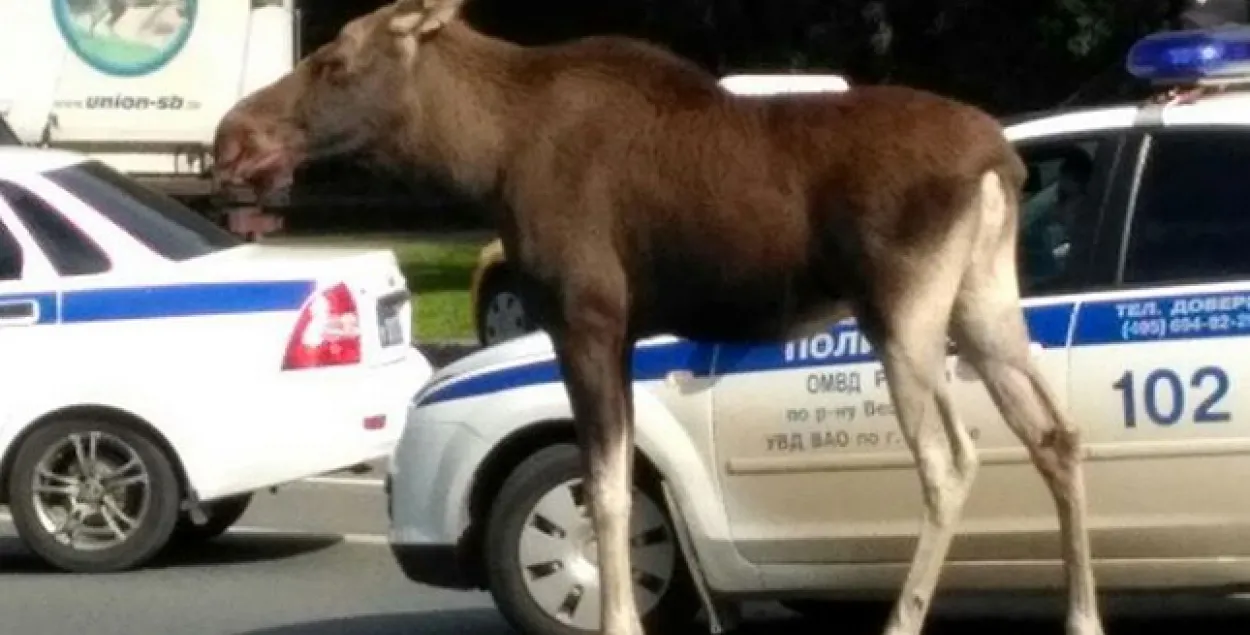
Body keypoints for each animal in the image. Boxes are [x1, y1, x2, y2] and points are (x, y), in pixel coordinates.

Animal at [210, 1, 1110, 635]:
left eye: (333, 60)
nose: (230, 137)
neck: (483, 157)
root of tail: (1002, 161)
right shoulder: (622, 329)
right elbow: (613, 482)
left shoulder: (587, 316)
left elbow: (604, 488)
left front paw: (616, 618)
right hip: (982, 303)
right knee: (1055, 434)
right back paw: (1082, 612)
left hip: (903, 307)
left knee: (950, 458)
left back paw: (905, 616)